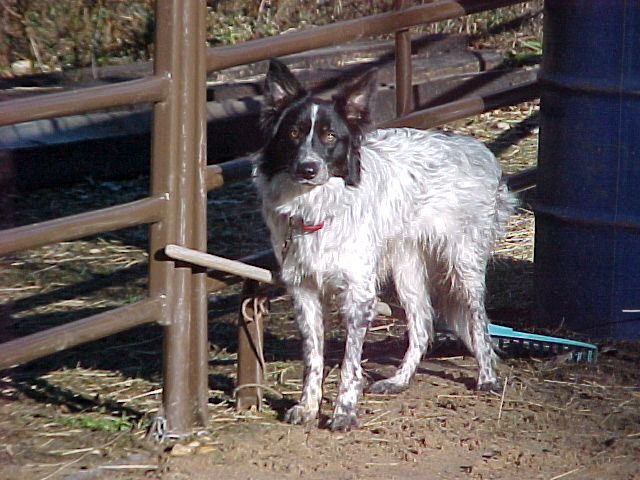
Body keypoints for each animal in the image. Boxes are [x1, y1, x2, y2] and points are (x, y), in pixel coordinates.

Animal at [254, 58, 516, 432]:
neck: (316, 207)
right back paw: (399, 380)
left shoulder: (358, 294)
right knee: (422, 324)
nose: (308, 168)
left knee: (477, 319)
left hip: (462, 263)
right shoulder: (303, 289)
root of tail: (476, 148)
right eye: (293, 133)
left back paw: (487, 377)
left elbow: (349, 365)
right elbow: (313, 359)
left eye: (330, 136)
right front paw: (307, 406)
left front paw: (344, 412)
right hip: (406, 269)